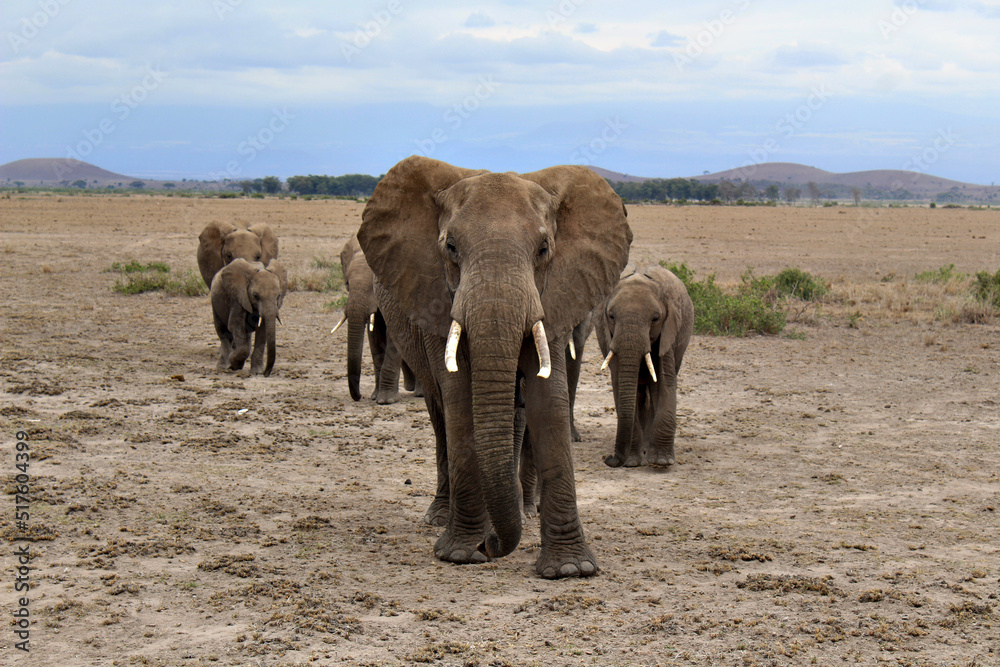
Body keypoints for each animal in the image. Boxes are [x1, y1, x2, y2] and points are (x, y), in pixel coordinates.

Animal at [332, 235, 418, 402]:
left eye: (374, 285)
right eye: (347, 283)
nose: (359, 396)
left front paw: (385, 400)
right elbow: (374, 337)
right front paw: (374, 396)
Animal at [358, 157, 632, 580]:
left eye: (543, 249)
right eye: (451, 247)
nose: (491, 546)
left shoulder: (556, 294)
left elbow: (547, 402)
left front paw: (571, 569)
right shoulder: (436, 299)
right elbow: (459, 401)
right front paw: (462, 553)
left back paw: (522, 511)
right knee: (441, 415)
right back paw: (441, 517)